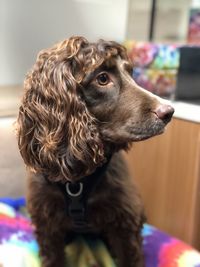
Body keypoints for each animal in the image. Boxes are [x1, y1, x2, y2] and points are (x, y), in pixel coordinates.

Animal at [16, 36, 173, 267]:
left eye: (131, 72)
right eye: (102, 78)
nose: (169, 112)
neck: (77, 178)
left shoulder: (125, 221)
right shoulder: (47, 222)